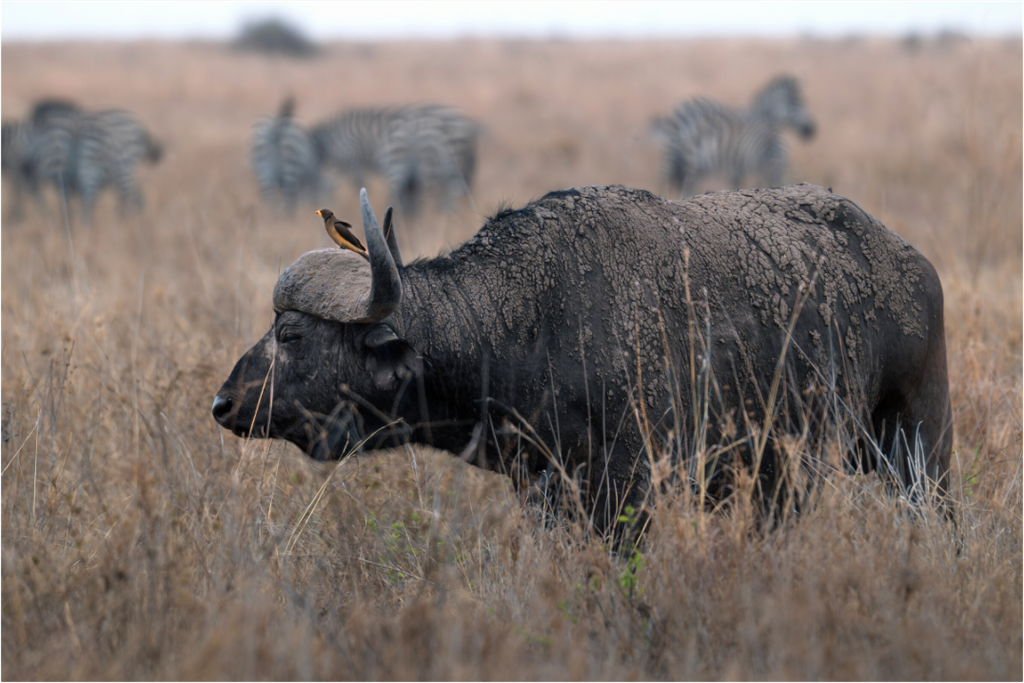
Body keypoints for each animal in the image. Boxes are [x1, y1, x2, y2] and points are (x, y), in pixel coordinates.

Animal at [213, 185, 951, 534]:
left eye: (291, 334)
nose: (224, 402)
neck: (526, 323)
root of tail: (912, 264)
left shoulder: (631, 489)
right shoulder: (547, 493)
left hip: (919, 446)